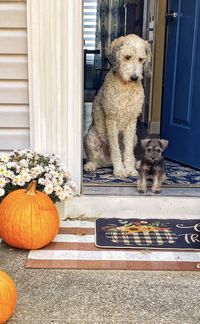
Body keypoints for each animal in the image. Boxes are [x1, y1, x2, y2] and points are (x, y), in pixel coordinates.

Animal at [83, 34, 151, 177]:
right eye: (127, 57)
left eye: (141, 59)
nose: (134, 77)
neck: (125, 87)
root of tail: (108, 163)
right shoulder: (111, 120)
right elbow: (115, 149)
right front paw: (120, 170)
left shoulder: (131, 122)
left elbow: (128, 151)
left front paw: (129, 169)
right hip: (90, 137)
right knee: (96, 161)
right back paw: (91, 166)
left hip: (135, 137)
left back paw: (135, 164)